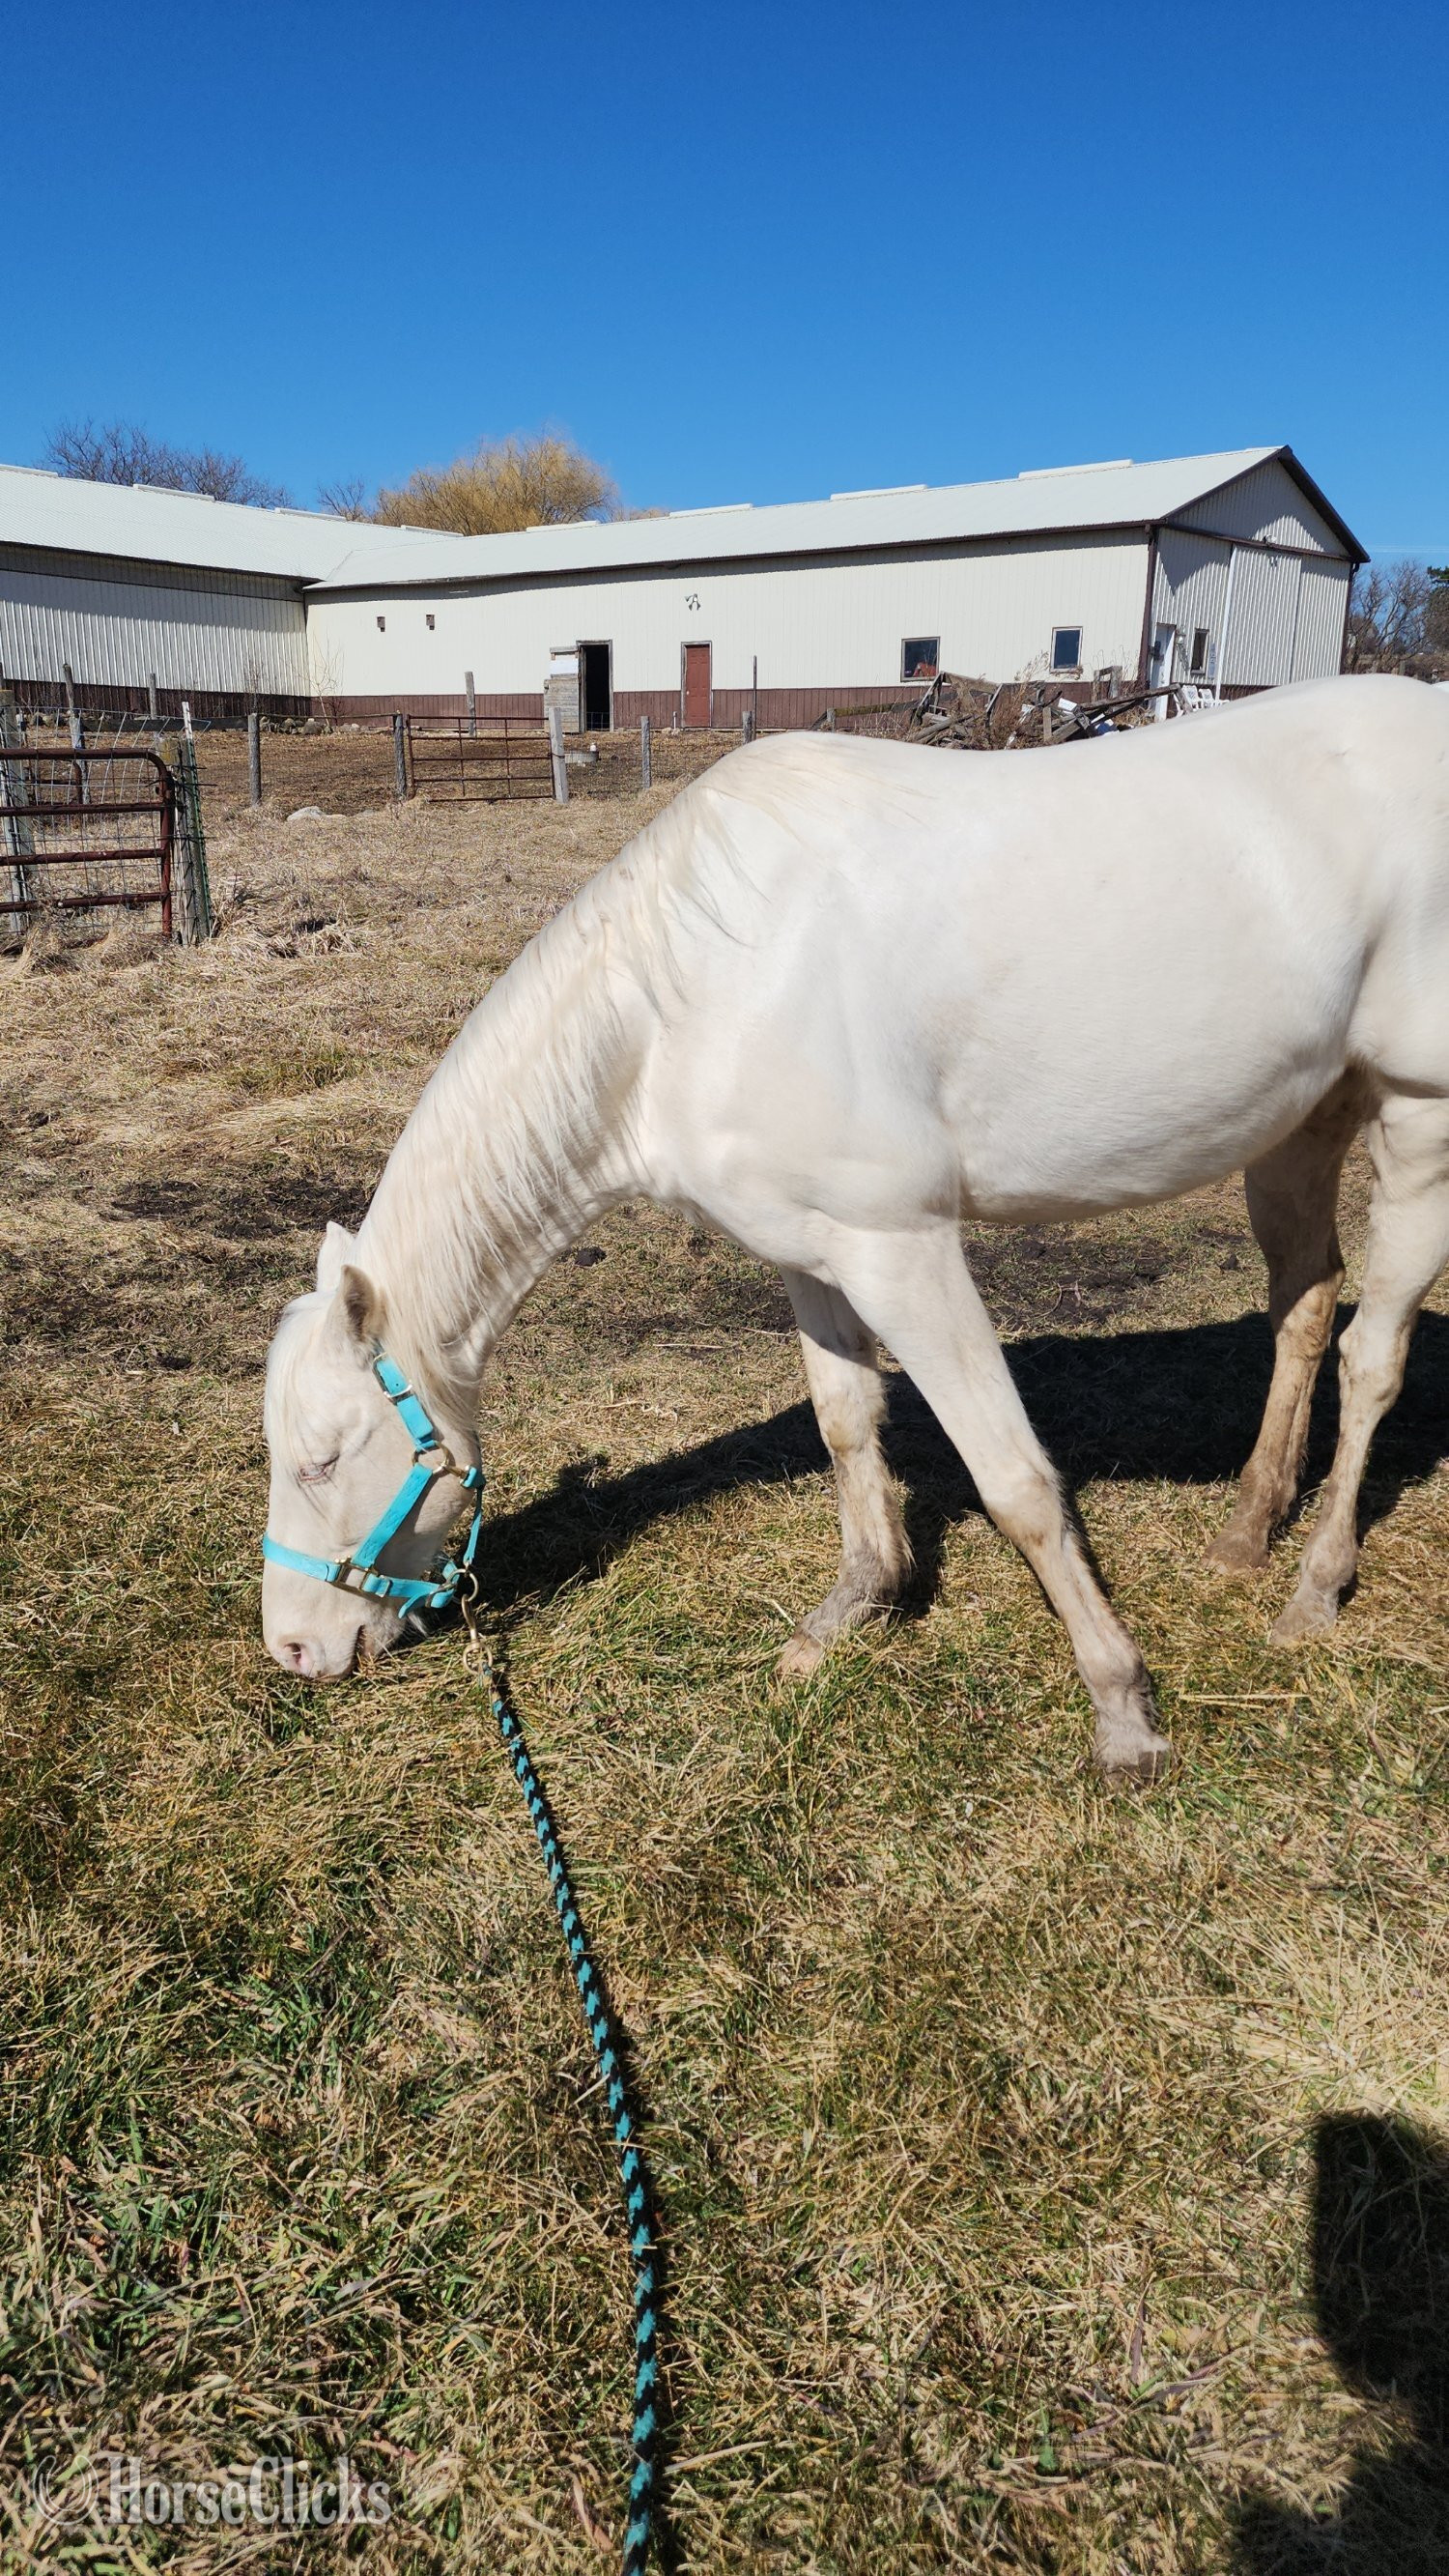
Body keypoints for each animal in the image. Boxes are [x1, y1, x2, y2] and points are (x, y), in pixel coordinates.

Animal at [261, 675, 1449, 1778]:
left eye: (321, 1461)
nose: (293, 1650)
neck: (684, 999)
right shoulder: (814, 1252)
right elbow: (845, 1421)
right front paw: (853, 1608)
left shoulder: (902, 1250)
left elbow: (1015, 1481)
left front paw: (1122, 1709)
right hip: (1298, 1126)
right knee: (1304, 1310)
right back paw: (1249, 1531)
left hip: (1419, 1124)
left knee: (1373, 1357)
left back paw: (1313, 1589)